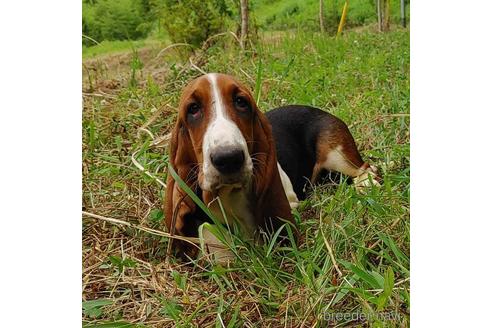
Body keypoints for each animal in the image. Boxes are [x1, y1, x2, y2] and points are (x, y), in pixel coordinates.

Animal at [164, 73, 376, 260]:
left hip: (336, 155)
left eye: (241, 102)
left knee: (365, 168)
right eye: (193, 108)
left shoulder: (291, 202)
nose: (228, 158)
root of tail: (319, 110)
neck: (230, 195)